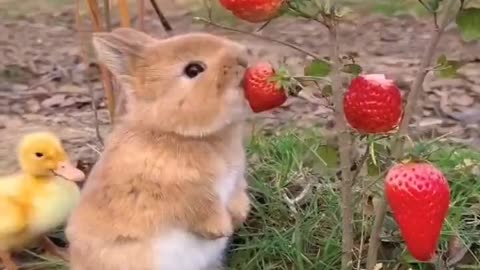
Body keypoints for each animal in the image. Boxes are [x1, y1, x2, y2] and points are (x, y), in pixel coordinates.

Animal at [66, 28, 251, 270]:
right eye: (193, 70)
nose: (244, 59)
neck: (176, 132)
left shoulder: (235, 180)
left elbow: (237, 195)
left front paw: (239, 215)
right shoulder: (181, 193)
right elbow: (201, 209)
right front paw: (221, 228)